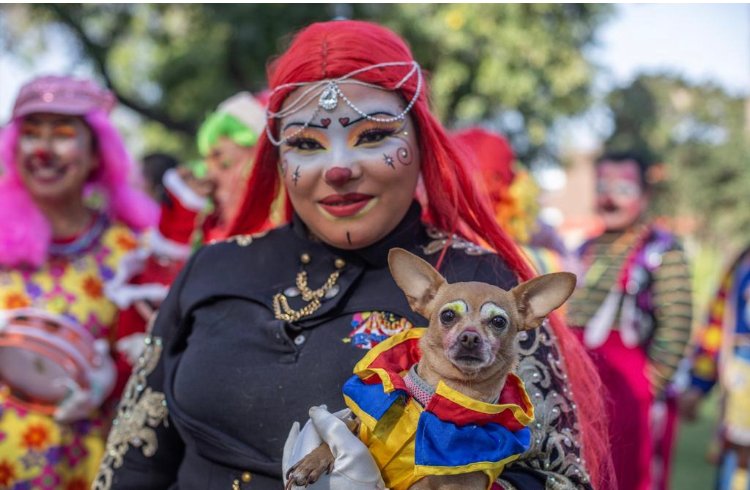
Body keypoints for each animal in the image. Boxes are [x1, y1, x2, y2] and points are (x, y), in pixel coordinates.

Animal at [286, 249, 576, 490]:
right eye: (448, 315)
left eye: (498, 321)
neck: (439, 396)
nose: (470, 337)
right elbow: (343, 427)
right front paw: (312, 461)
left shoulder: (453, 483)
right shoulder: (361, 424)